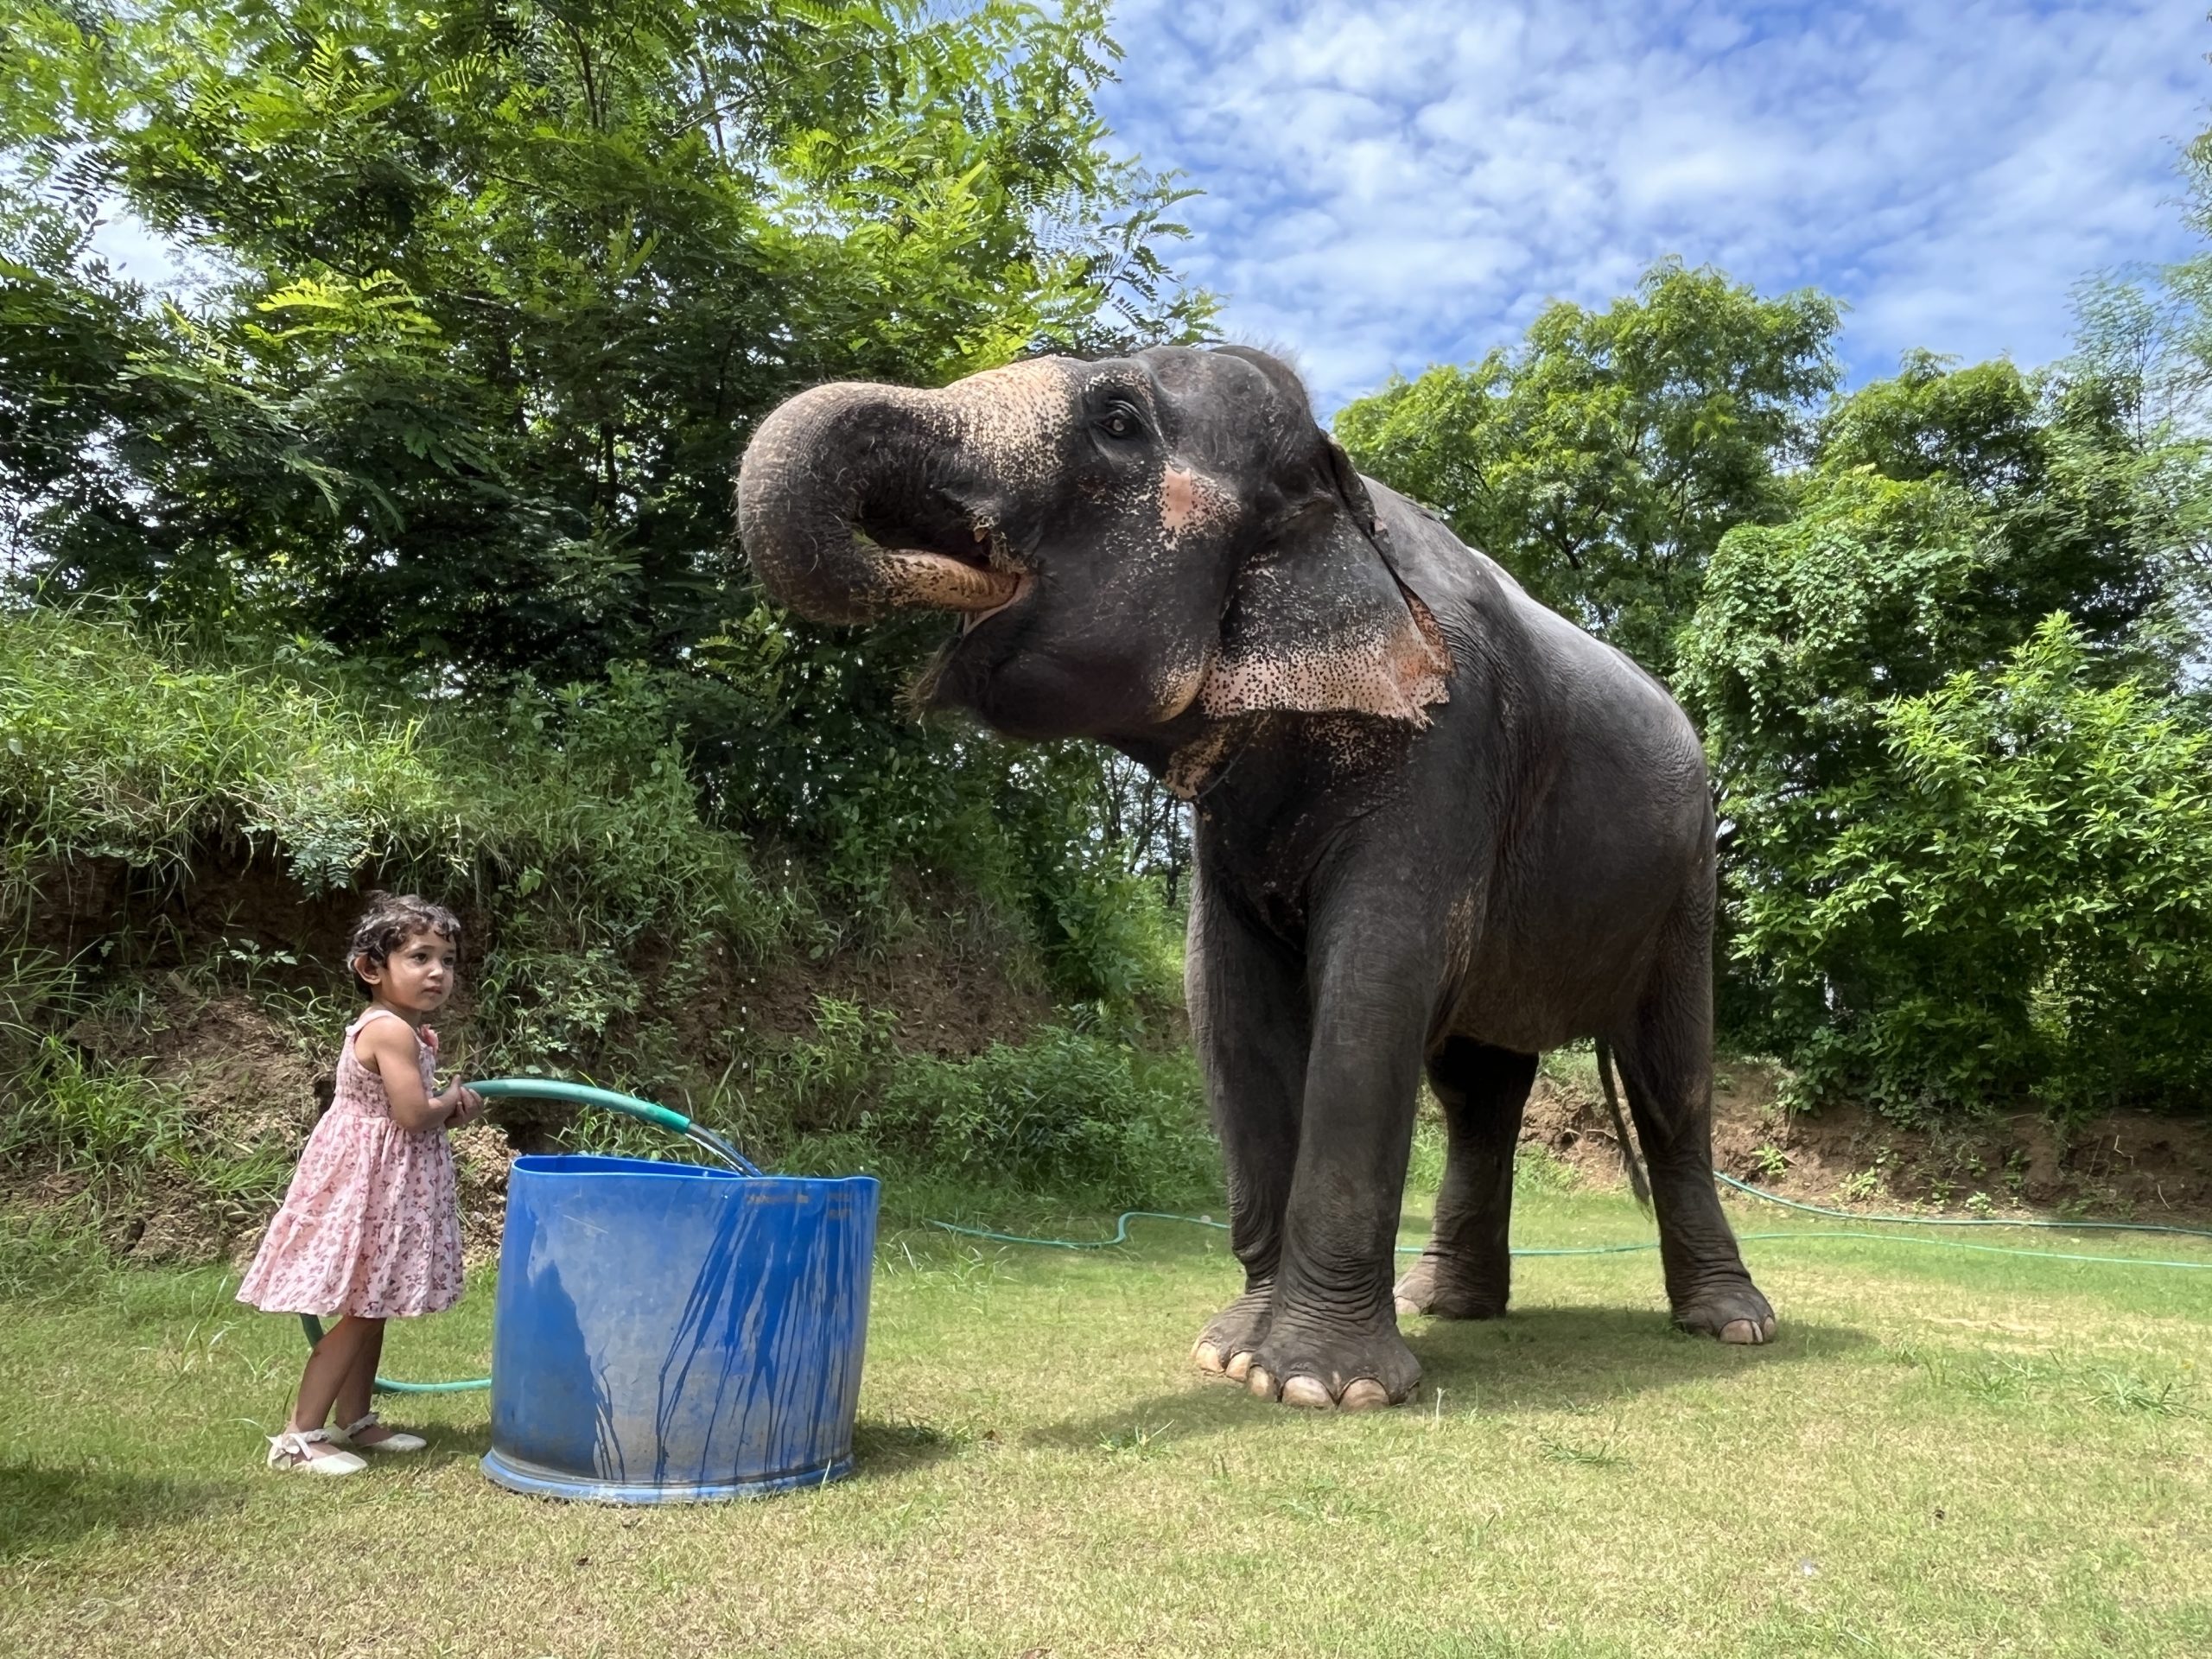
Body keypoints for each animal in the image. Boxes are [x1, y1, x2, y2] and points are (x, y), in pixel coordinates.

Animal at [736, 344, 1776, 1411]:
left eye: (1117, 422)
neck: (1337, 483)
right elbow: (1227, 1000)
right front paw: (1231, 1356)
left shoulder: (1449, 748)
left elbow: (1375, 982)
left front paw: (1321, 1387)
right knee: (1476, 1092)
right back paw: (1448, 1305)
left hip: (1688, 875)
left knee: (1668, 1078)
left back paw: (1731, 1325)